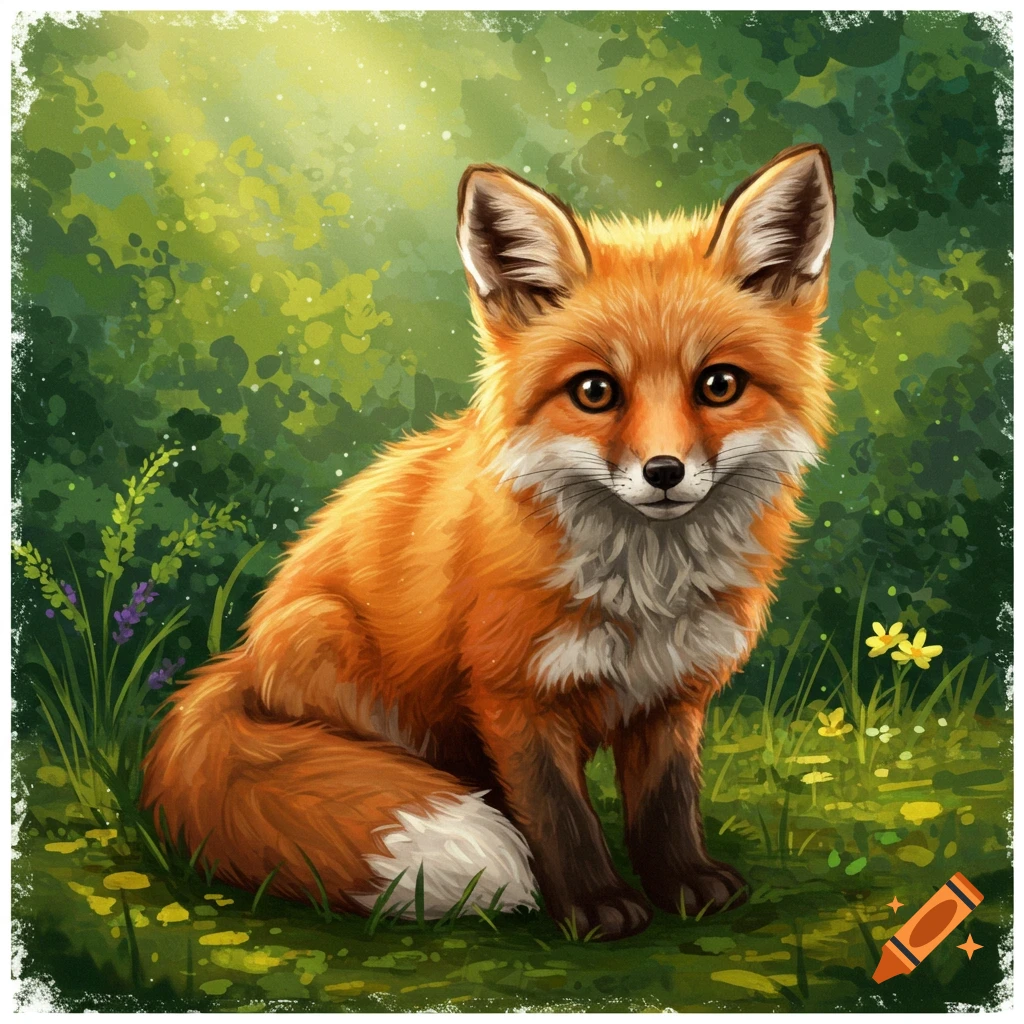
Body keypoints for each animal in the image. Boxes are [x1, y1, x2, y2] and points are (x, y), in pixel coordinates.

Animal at [141, 143, 835, 941]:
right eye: (595, 391)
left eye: (719, 385)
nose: (663, 473)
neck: (645, 593)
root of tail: (237, 662)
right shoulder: (513, 692)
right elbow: (560, 814)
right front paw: (594, 907)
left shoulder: (672, 693)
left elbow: (667, 805)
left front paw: (685, 883)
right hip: (337, 652)